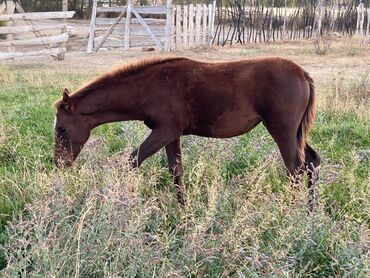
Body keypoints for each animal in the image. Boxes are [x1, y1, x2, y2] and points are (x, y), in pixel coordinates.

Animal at [54, 56, 320, 207]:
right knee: (311, 162)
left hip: (282, 130)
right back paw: (310, 211)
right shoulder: (171, 134)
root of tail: (303, 74)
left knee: (295, 168)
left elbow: (132, 160)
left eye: (62, 128)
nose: (60, 164)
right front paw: (184, 211)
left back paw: (291, 212)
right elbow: (176, 171)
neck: (149, 87)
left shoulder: (165, 130)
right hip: (296, 132)